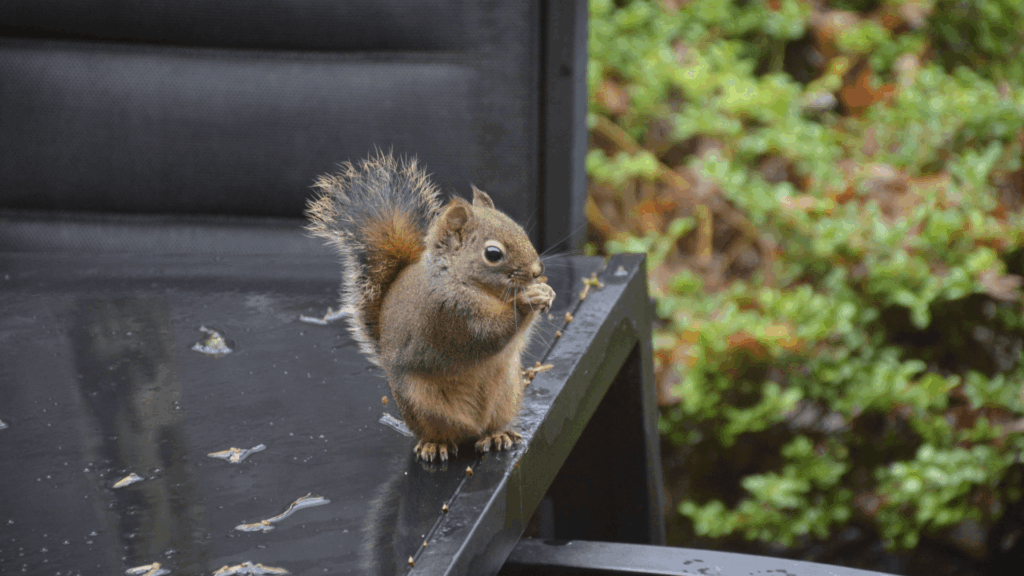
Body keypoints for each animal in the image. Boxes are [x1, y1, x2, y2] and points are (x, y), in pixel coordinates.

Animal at [305, 152, 556, 462]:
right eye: (493, 254)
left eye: (520, 229)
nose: (537, 270)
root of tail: (472, 428)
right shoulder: (451, 314)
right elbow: (489, 333)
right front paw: (527, 299)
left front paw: (546, 290)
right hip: (423, 404)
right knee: (441, 432)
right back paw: (436, 445)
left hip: (507, 392)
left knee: (490, 425)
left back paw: (497, 435)